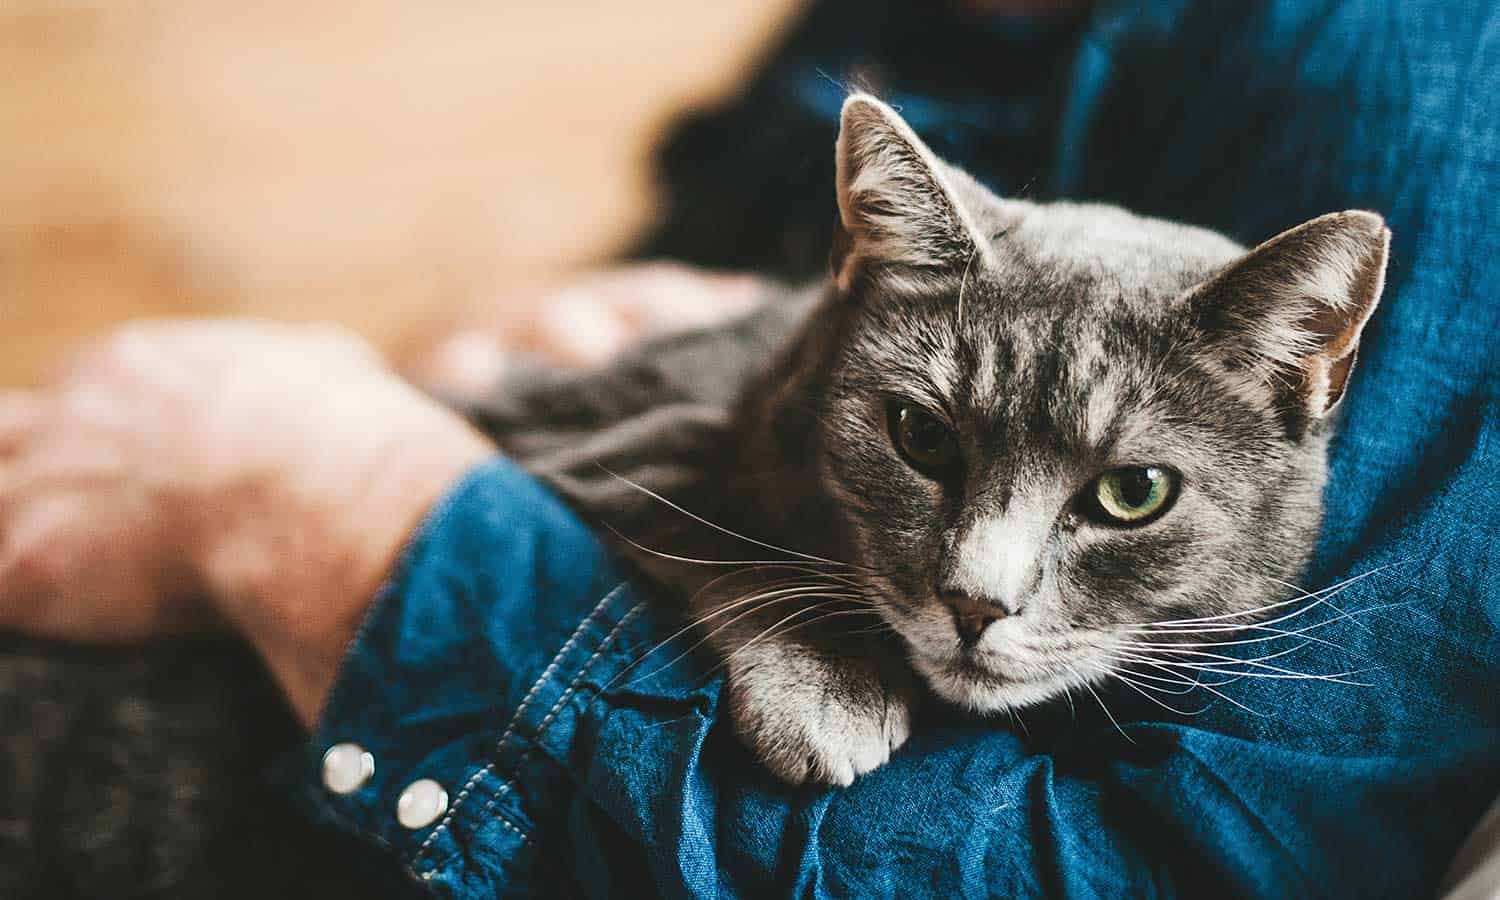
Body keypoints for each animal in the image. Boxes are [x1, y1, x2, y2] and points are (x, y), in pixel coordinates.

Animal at [0, 91, 1392, 894]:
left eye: (1131, 493)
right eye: (919, 436)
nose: (976, 602)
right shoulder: (588, 438)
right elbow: (734, 538)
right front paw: (827, 695)